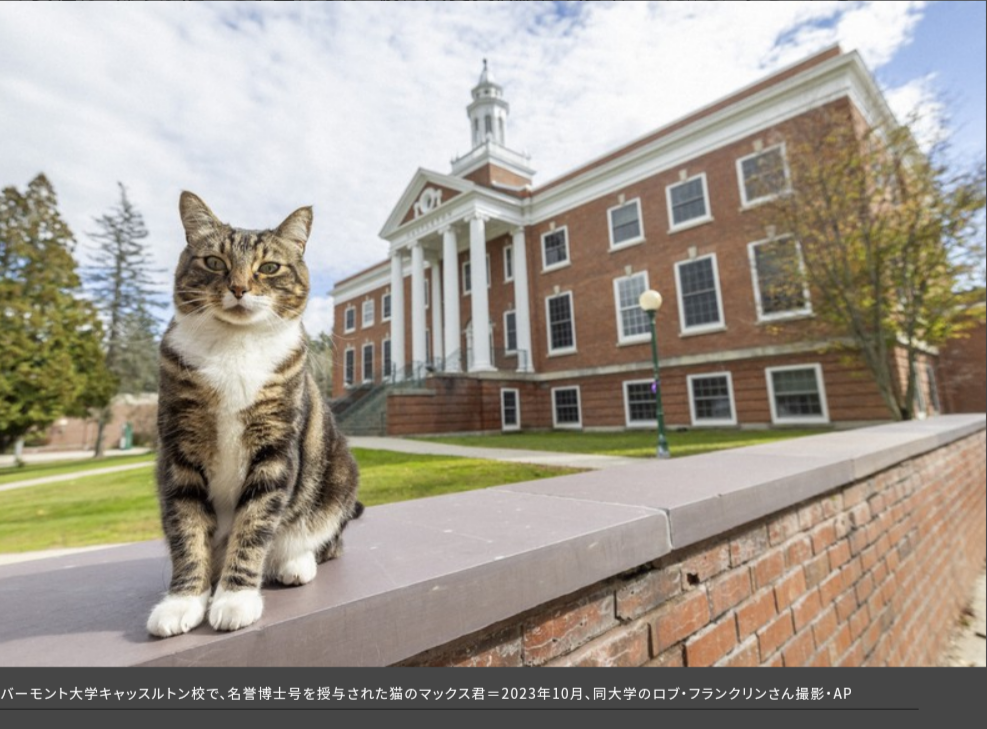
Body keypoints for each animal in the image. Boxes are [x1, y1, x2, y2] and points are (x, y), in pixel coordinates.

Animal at [147, 192, 362, 636]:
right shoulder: (179, 449)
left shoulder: (275, 447)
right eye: (214, 262)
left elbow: (255, 523)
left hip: (339, 475)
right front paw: (183, 601)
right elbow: (187, 528)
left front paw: (235, 598)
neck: (235, 346)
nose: (239, 287)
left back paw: (295, 562)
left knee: (326, 540)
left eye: (269, 267)